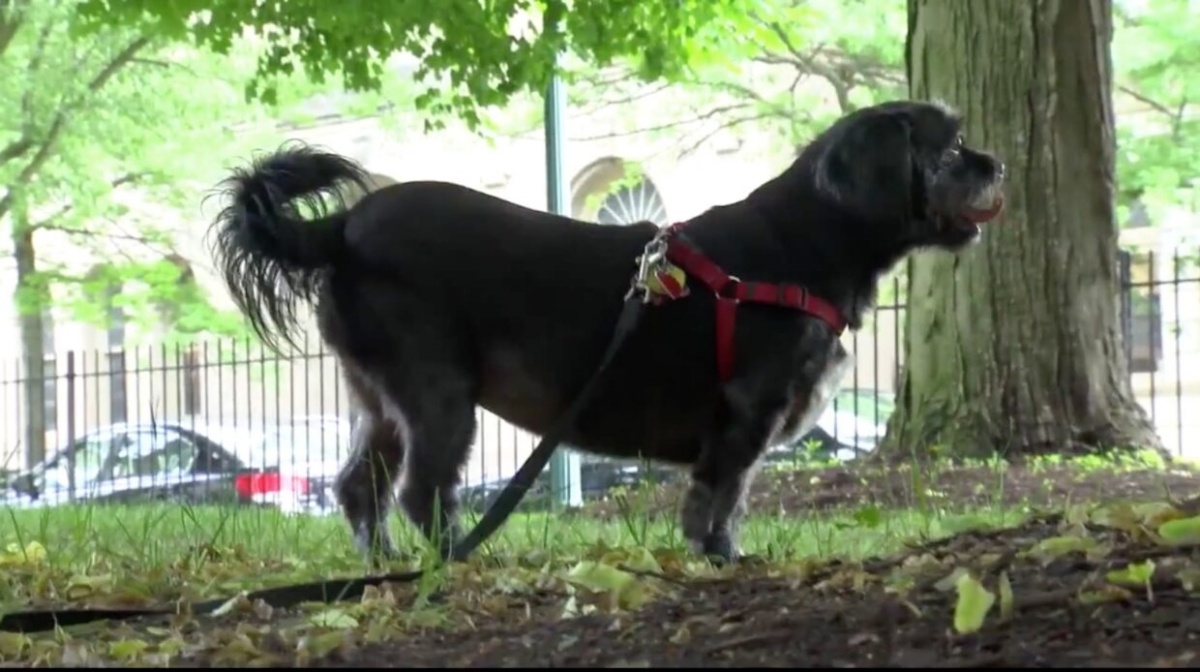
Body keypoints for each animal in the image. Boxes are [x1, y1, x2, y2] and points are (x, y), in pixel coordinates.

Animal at [213, 98, 1003, 561]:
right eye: (951, 148)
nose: (998, 162)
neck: (812, 240)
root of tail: (340, 229)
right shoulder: (746, 411)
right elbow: (721, 498)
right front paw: (720, 560)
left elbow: (723, 498)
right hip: (438, 390)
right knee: (420, 489)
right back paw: (460, 561)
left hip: (377, 397)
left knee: (357, 487)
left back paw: (383, 568)